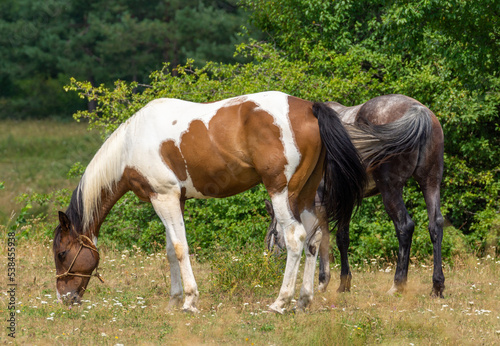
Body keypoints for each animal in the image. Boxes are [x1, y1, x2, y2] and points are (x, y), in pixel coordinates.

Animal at [52, 92, 368, 314]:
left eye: (62, 254)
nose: (64, 298)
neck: (132, 144)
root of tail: (309, 108)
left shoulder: (163, 197)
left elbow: (181, 249)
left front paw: (189, 302)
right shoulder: (174, 200)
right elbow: (171, 251)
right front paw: (173, 301)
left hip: (282, 192)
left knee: (295, 238)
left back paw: (280, 303)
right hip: (305, 194)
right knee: (314, 238)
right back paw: (303, 301)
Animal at [266, 94, 446, 298]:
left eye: (273, 233)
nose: (271, 260)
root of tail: (418, 111)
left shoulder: (320, 204)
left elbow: (322, 239)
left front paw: (323, 281)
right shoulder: (347, 201)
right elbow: (342, 238)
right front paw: (344, 283)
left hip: (391, 190)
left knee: (405, 227)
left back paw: (397, 284)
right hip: (430, 183)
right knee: (435, 225)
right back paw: (437, 286)